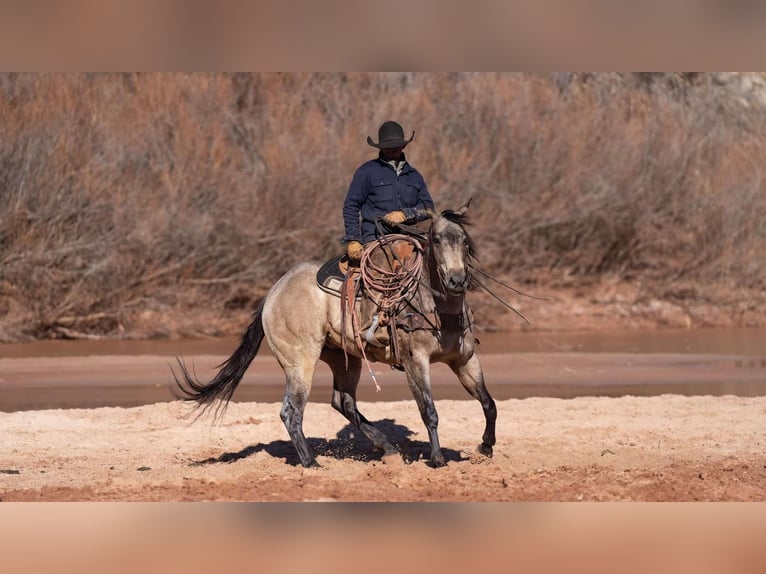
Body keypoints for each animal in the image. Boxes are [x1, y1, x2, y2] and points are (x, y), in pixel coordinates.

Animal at [172, 200, 498, 470]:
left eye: (464, 241)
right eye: (436, 240)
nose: (457, 281)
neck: (437, 307)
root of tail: (273, 293)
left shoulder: (465, 360)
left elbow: (488, 403)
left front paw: (486, 446)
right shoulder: (415, 362)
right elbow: (428, 410)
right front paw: (438, 459)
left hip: (345, 360)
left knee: (343, 402)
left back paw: (387, 448)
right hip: (299, 361)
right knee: (291, 411)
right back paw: (311, 463)